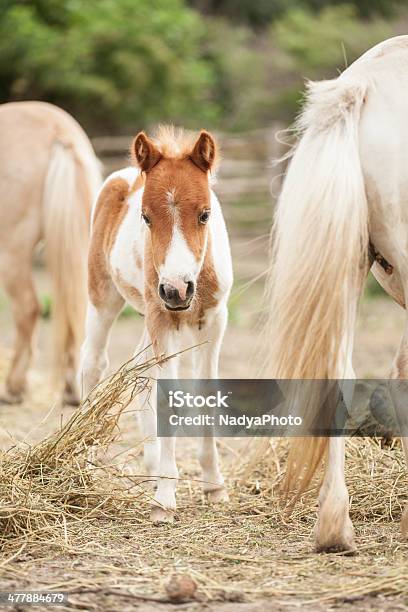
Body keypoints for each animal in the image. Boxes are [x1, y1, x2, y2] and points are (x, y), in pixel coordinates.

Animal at [79, 124, 233, 520]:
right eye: (146, 217)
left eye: (205, 214)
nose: (177, 289)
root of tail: (124, 173)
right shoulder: (163, 318)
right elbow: (170, 401)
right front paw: (164, 498)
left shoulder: (213, 321)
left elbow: (205, 397)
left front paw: (214, 485)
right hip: (105, 298)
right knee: (92, 363)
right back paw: (87, 464)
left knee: (142, 373)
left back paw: (149, 470)